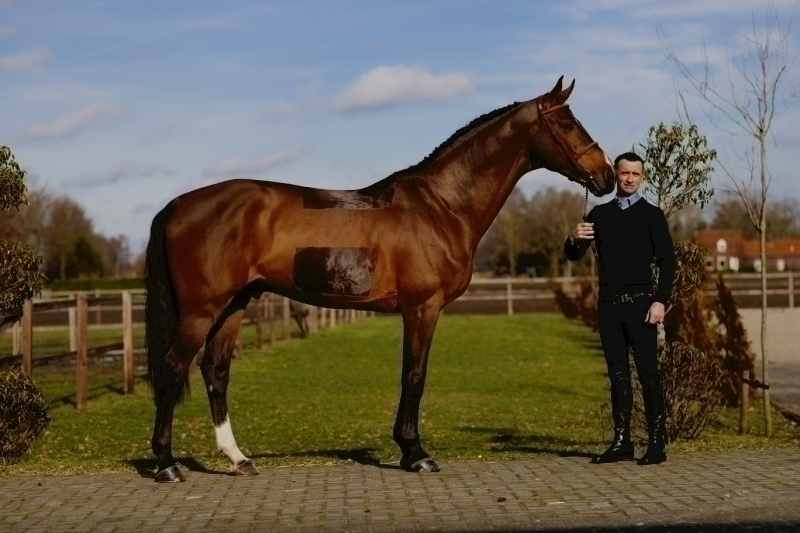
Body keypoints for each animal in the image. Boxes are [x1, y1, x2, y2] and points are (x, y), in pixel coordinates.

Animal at [144, 76, 616, 482]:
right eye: (567, 123)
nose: (607, 175)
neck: (441, 205)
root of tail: (178, 203)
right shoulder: (422, 307)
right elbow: (414, 375)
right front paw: (416, 454)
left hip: (235, 304)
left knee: (216, 371)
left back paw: (238, 459)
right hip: (201, 309)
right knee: (172, 369)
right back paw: (167, 465)